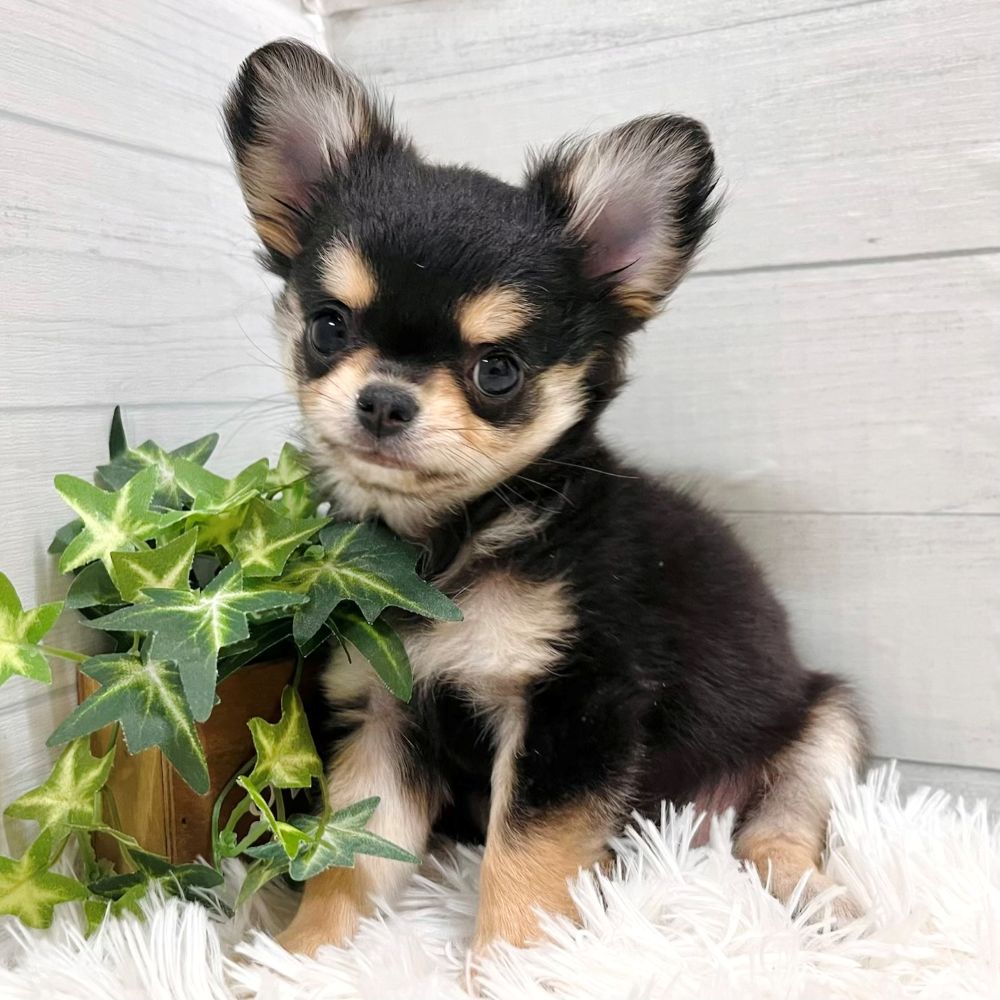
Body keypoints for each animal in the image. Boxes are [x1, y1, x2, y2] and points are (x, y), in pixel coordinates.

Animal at [224, 40, 867, 957]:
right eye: (328, 326)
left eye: (498, 371)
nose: (383, 400)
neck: (444, 544)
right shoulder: (384, 710)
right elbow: (351, 855)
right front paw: (305, 956)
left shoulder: (574, 710)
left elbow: (520, 861)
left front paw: (507, 967)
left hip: (825, 725)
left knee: (774, 835)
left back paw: (814, 897)